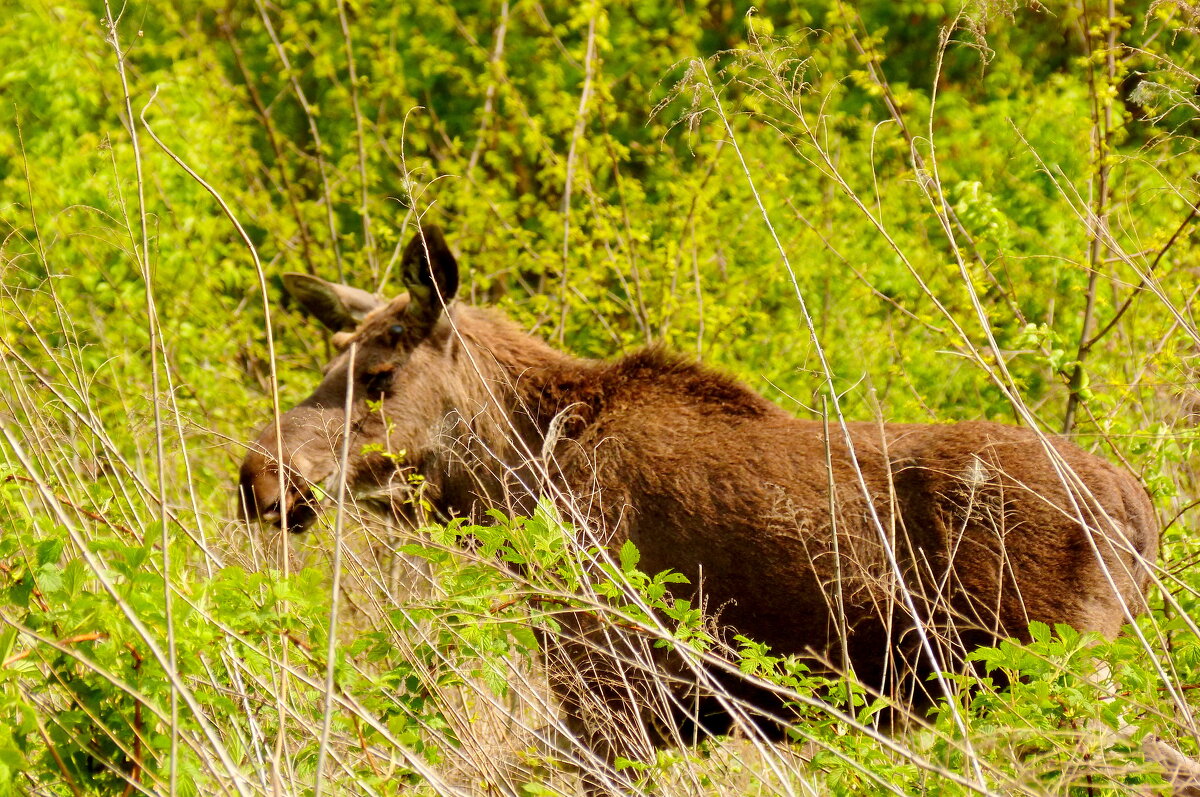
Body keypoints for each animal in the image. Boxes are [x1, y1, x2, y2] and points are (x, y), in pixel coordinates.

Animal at [236, 224, 1161, 792]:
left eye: (379, 375)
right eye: (332, 360)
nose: (258, 476)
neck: (514, 482)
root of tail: (1141, 507)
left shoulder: (613, 694)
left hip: (1057, 677)